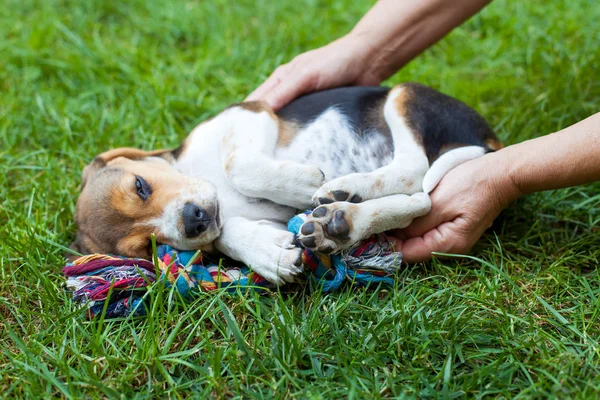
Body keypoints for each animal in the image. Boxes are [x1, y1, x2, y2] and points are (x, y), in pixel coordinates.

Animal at [71, 83, 502, 284]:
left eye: (140, 186)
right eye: (148, 245)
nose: (193, 220)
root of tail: (490, 138)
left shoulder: (251, 115)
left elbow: (236, 164)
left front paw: (302, 182)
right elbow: (227, 234)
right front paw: (268, 254)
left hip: (404, 96)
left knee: (415, 171)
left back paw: (343, 187)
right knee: (417, 200)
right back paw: (340, 220)